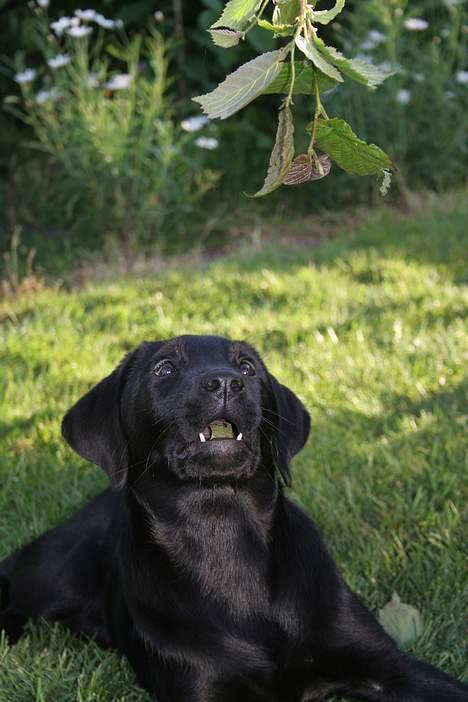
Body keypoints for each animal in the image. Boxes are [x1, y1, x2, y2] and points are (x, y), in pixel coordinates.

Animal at [0, 336, 468, 702]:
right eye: (165, 368)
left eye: (247, 366)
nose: (227, 381)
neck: (226, 532)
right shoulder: (204, 688)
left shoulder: (386, 664)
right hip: (53, 575)